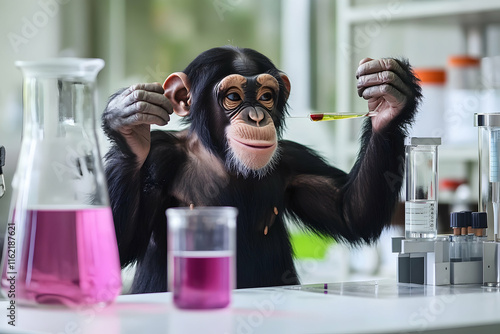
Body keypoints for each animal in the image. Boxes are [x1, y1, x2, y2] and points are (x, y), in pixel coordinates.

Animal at [102, 45, 422, 294]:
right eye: (233, 97)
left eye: (266, 96)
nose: (256, 117)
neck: (222, 157)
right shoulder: (160, 155)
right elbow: (115, 243)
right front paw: (129, 123)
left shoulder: (295, 161)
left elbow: (350, 211)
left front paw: (389, 95)